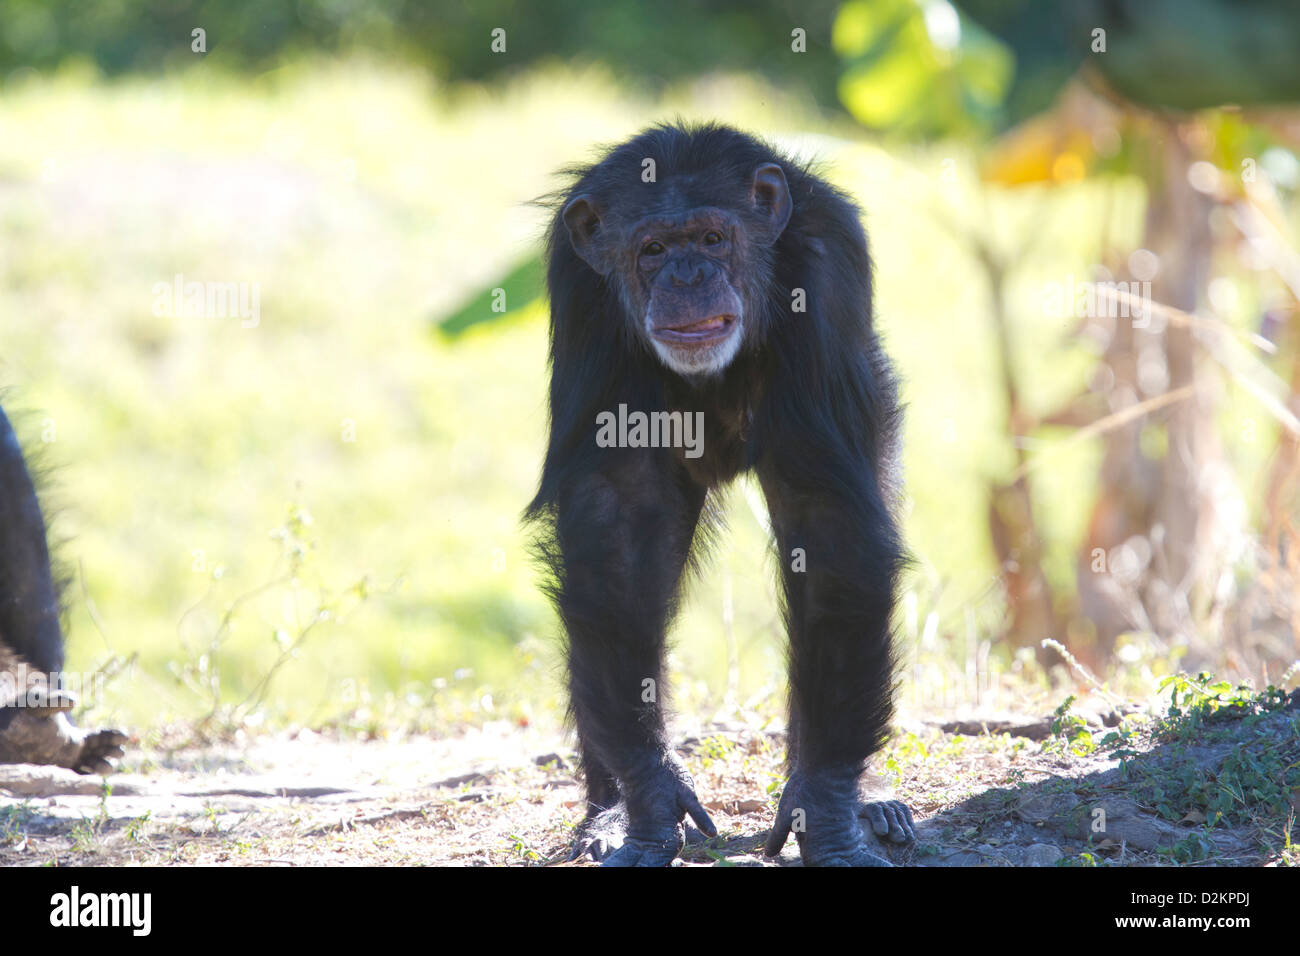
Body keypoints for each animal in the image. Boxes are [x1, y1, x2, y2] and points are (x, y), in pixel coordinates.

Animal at [525, 121, 915, 868]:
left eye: (711, 238)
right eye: (652, 249)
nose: (687, 276)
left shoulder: (825, 273)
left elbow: (826, 521)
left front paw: (826, 809)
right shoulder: (582, 294)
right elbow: (619, 521)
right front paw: (649, 800)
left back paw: (868, 800)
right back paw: (605, 812)